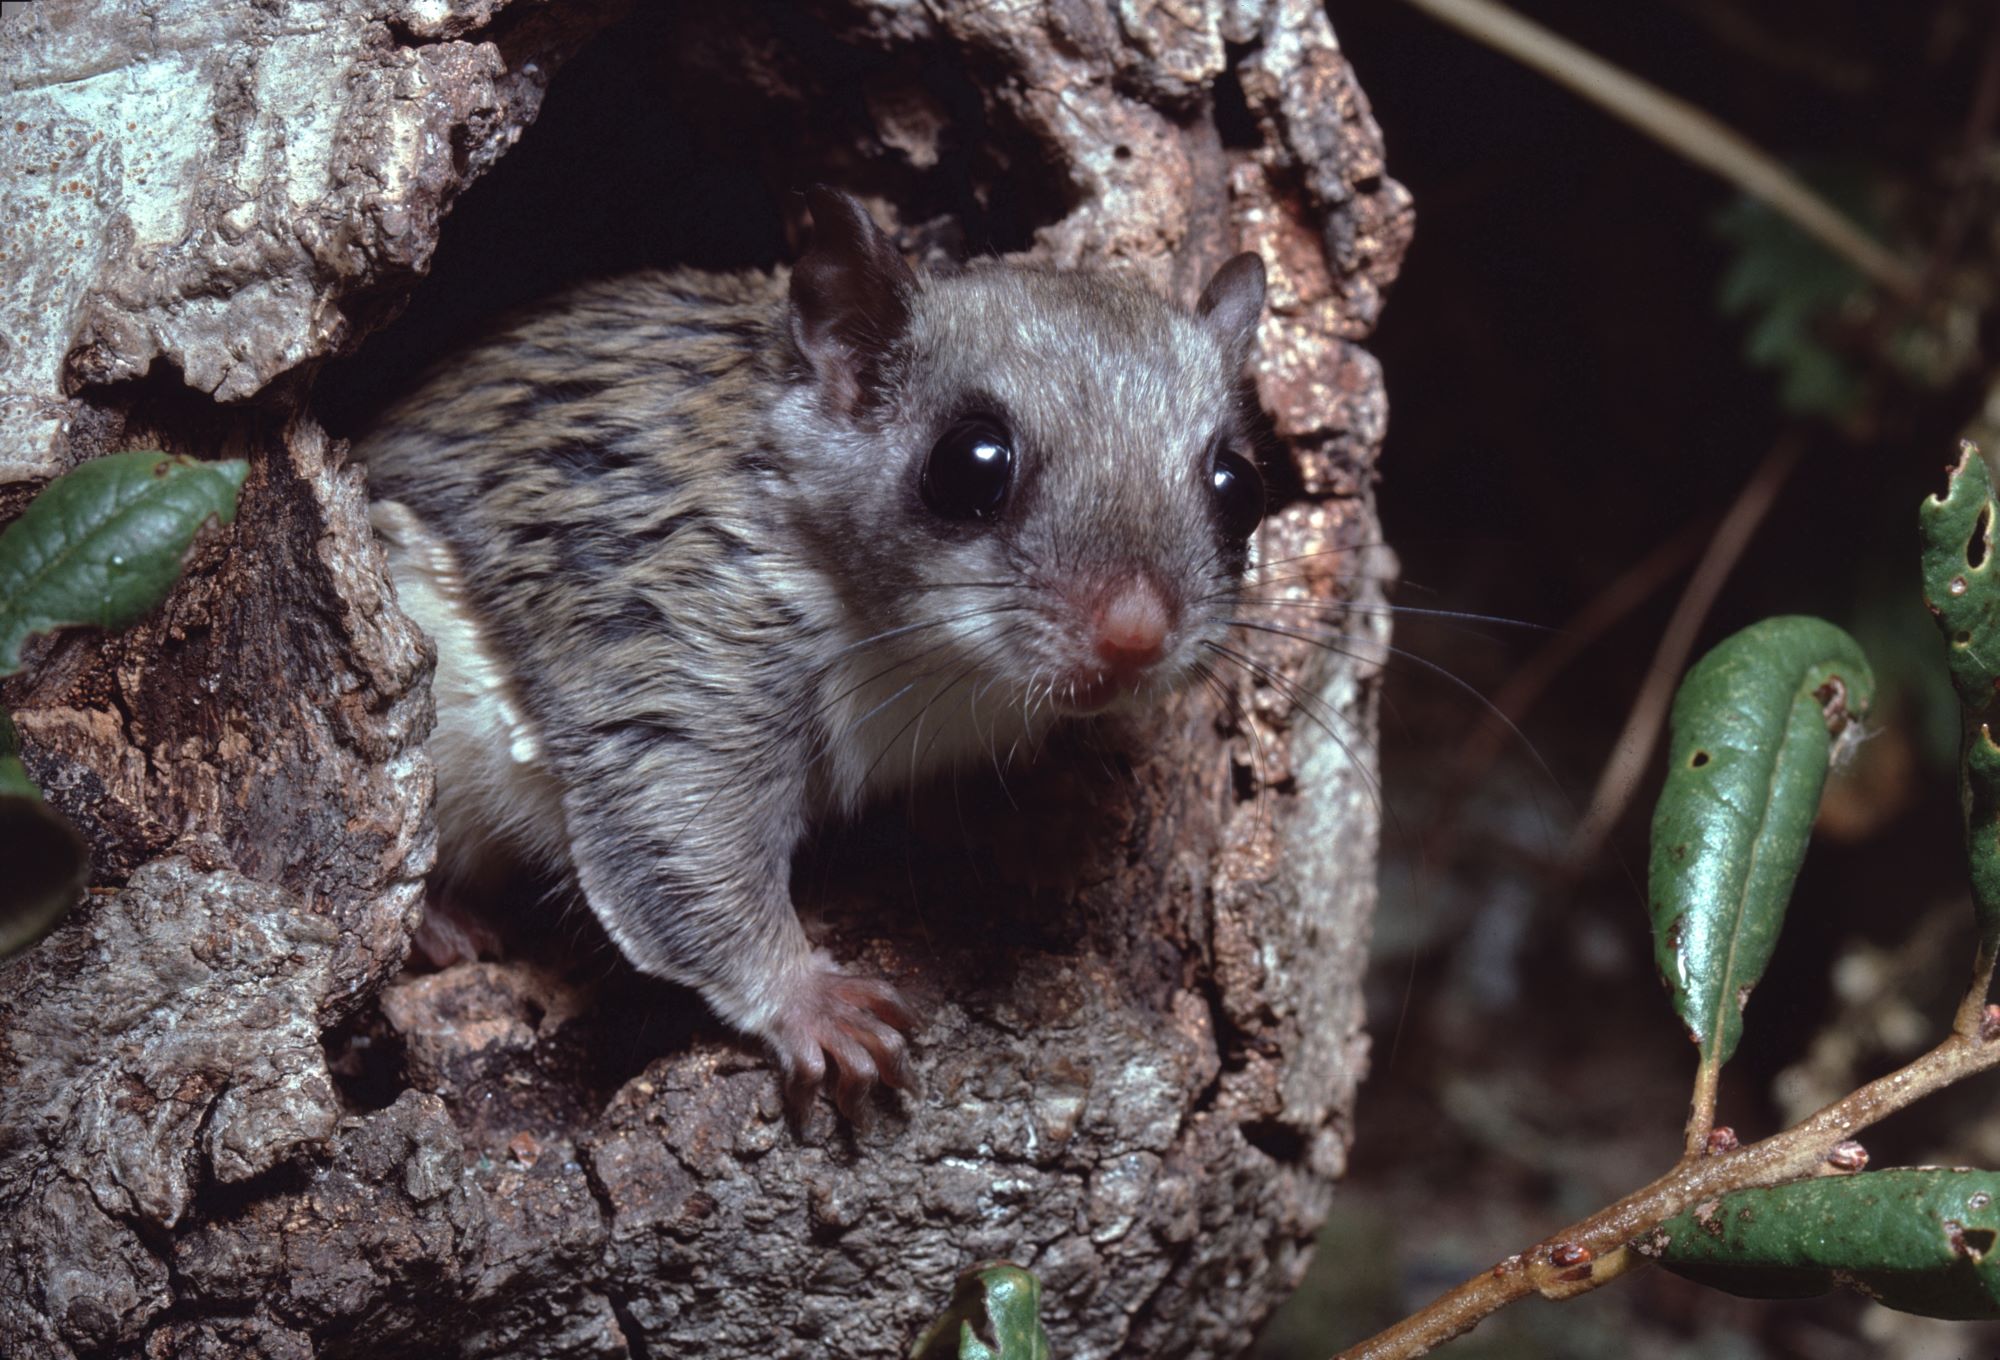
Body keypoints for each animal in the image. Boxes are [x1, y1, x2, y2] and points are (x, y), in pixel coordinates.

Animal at [359, 188, 1268, 1116]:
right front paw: (809, 1001)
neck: (940, 671)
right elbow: (682, 842)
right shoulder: (678, 640)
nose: (1136, 632)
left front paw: (1037, 825)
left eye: (1242, 487)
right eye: (970, 465)